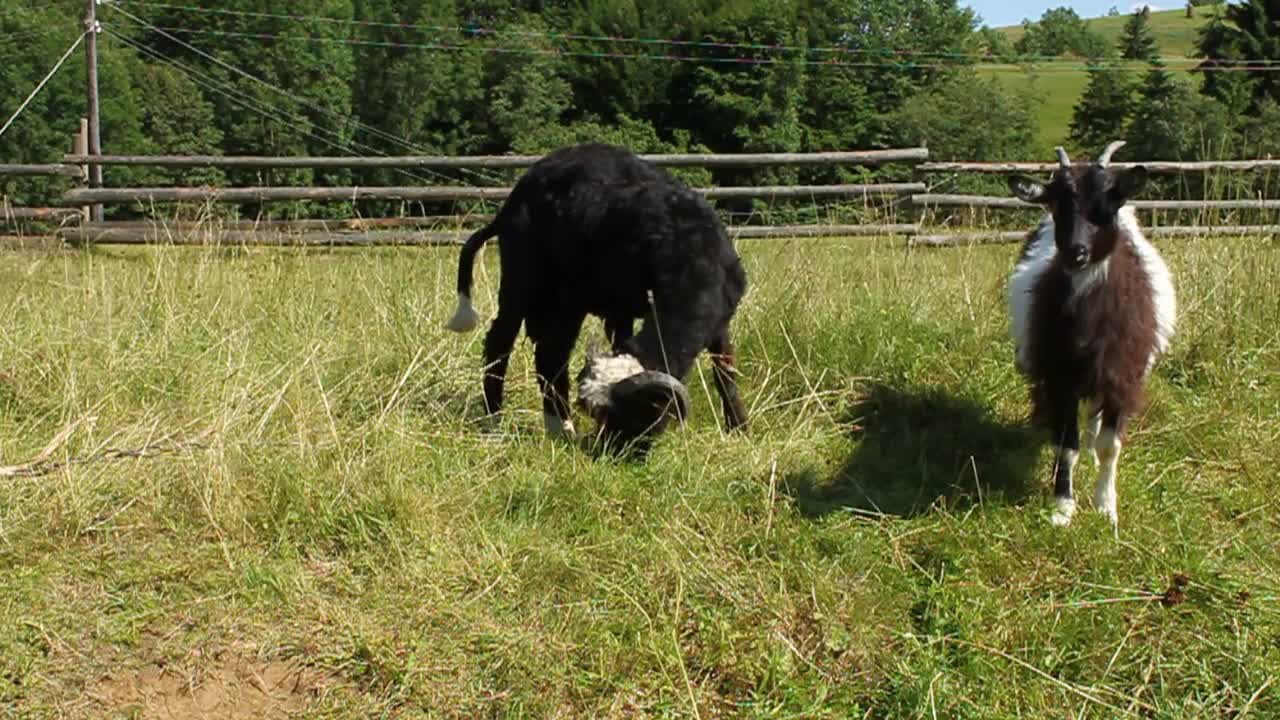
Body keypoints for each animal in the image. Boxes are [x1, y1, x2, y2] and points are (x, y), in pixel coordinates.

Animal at [448, 140, 747, 443]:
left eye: (635, 417)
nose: (608, 451)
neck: (690, 250)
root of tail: (512, 202)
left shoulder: (714, 319)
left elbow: (725, 372)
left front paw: (739, 427)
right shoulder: (612, 308)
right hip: (529, 283)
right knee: (517, 347)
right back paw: (505, 420)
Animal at [1003, 140, 1172, 530]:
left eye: (1108, 204)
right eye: (1055, 203)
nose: (1075, 252)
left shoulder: (1121, 377)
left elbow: (1110, 446)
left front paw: (1106, 508)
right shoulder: (1059, 376)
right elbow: (1067, 446)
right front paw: (1062, 506)